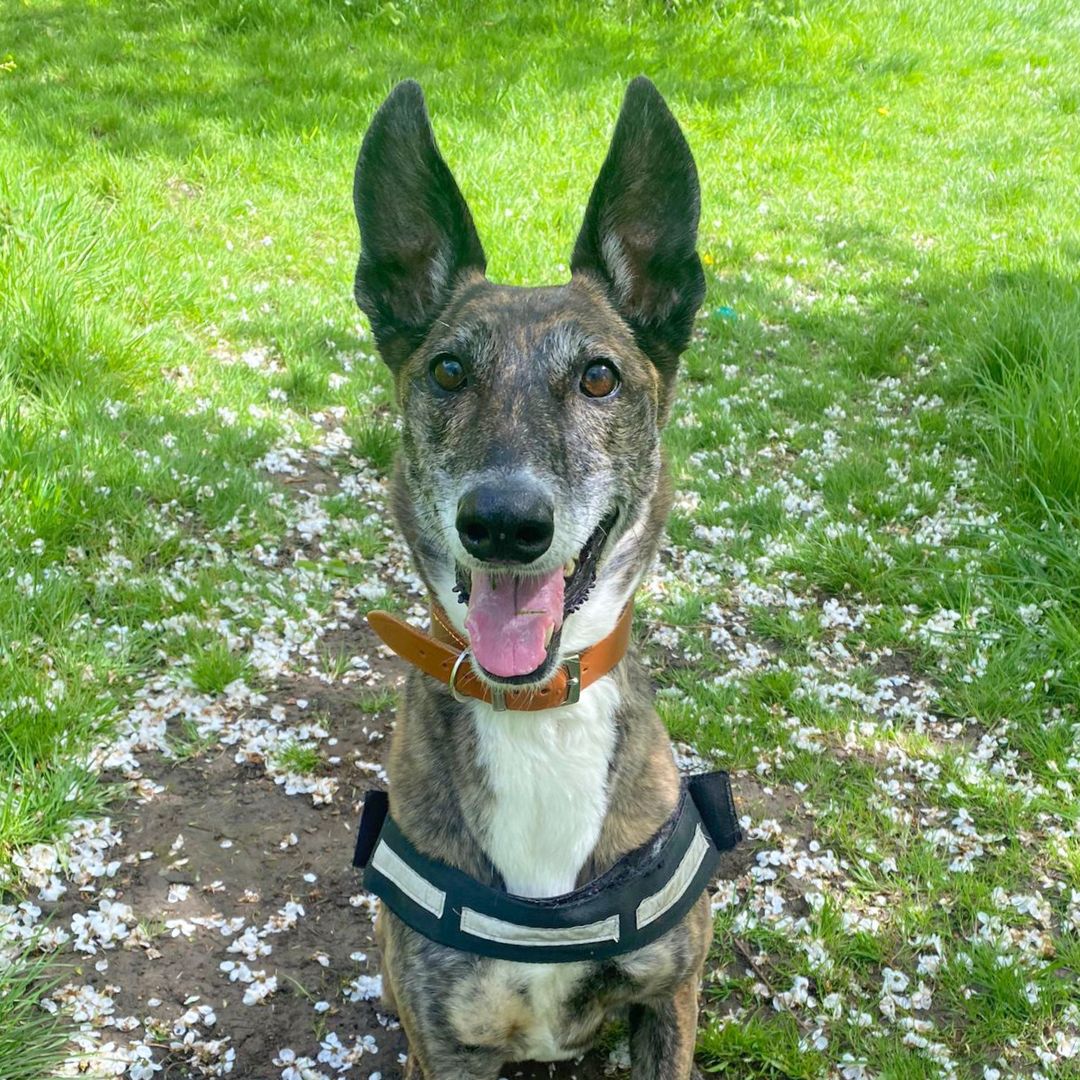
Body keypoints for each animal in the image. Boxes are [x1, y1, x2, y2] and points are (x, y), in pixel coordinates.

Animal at [354, 78, 721, 1080]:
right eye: (447, 370)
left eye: (599, 377)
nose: (505, 525)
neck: (535, 712)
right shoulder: (448, 1042)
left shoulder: (669, 996)